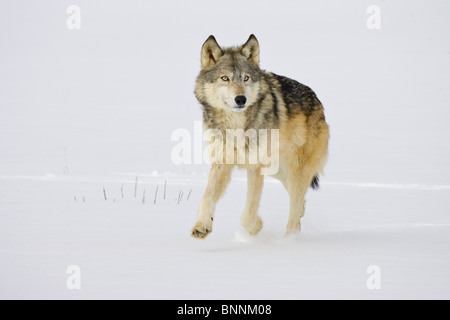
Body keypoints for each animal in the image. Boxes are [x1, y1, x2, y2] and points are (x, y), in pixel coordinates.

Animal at [192, 35, 328, 239]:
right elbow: (206, 197)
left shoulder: (255, 167)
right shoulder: (222, 163)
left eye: (246, 78)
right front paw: (202, 226)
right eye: (225, 78)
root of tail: (318, 101)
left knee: (294, 211)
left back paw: (291, 240)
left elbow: (248, 214)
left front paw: (257, 226)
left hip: (295, 169)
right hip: (277, 170)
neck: (236, 126)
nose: (241, 99)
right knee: (298, 200)